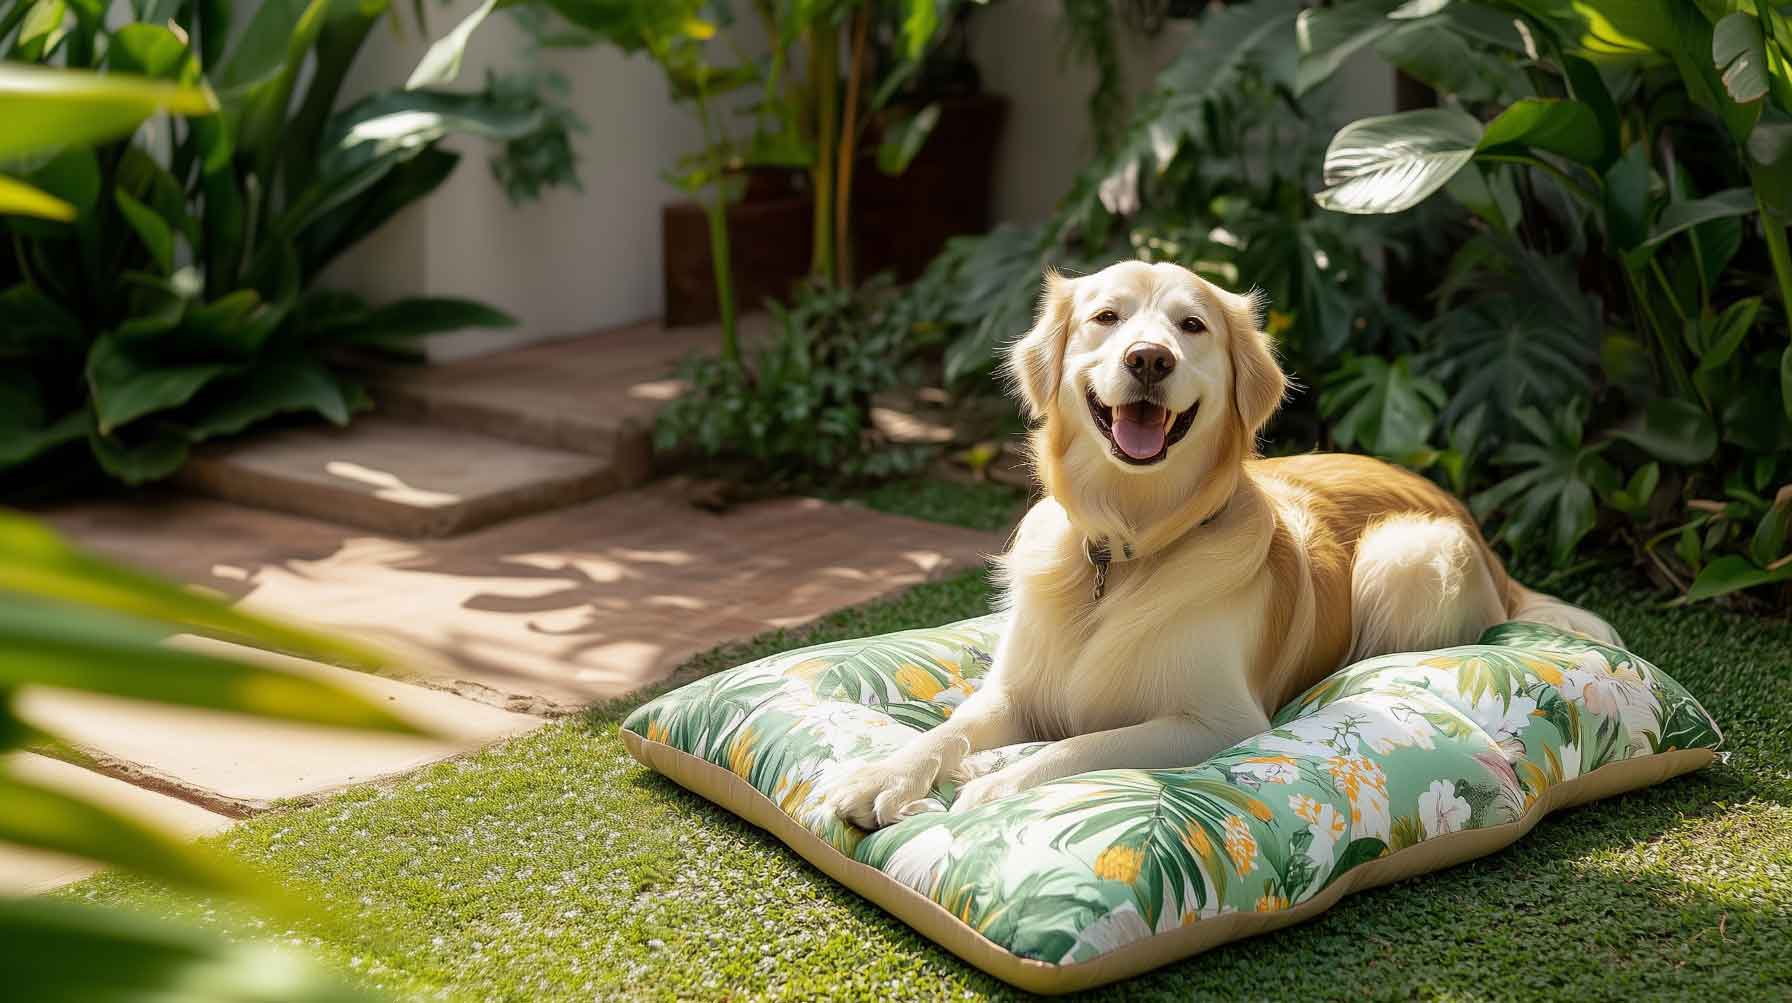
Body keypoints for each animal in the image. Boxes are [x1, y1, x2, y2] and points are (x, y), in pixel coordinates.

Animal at [827, 259, 1627, 831]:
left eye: (1192, 325)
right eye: (1106, 317)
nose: (1150, 359)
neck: (1124, 551)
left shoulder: (1217, 723)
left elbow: (1077, 746)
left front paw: (991, 782)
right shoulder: (1014, 690)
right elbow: (949, 727)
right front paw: (883, 775)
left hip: (1407, 557)